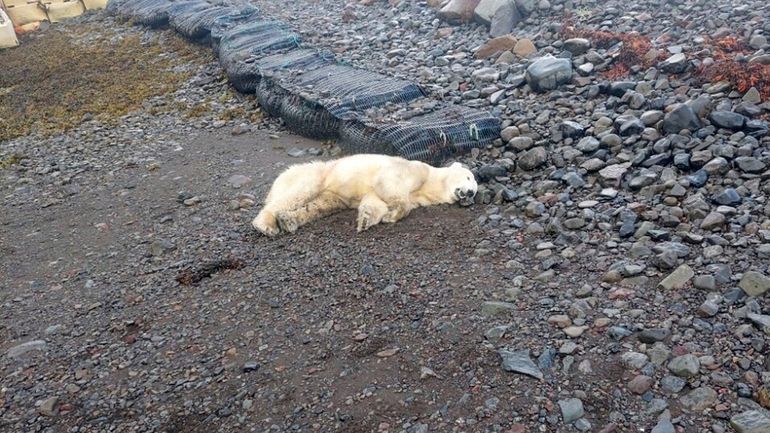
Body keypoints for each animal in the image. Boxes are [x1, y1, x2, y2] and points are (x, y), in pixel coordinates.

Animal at [252, 153, 476, 235]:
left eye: (474, 189)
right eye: (468, 177)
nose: (471, 193)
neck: (430, 183)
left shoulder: (417, 196)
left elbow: (375, 200)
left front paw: (367, 219)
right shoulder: (414, 170)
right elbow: (389, 184)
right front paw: (393, 213)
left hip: (331, 195)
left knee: (319, 206)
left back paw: (288, 221)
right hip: (315, 175)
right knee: (298, 194)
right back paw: (266, 225)